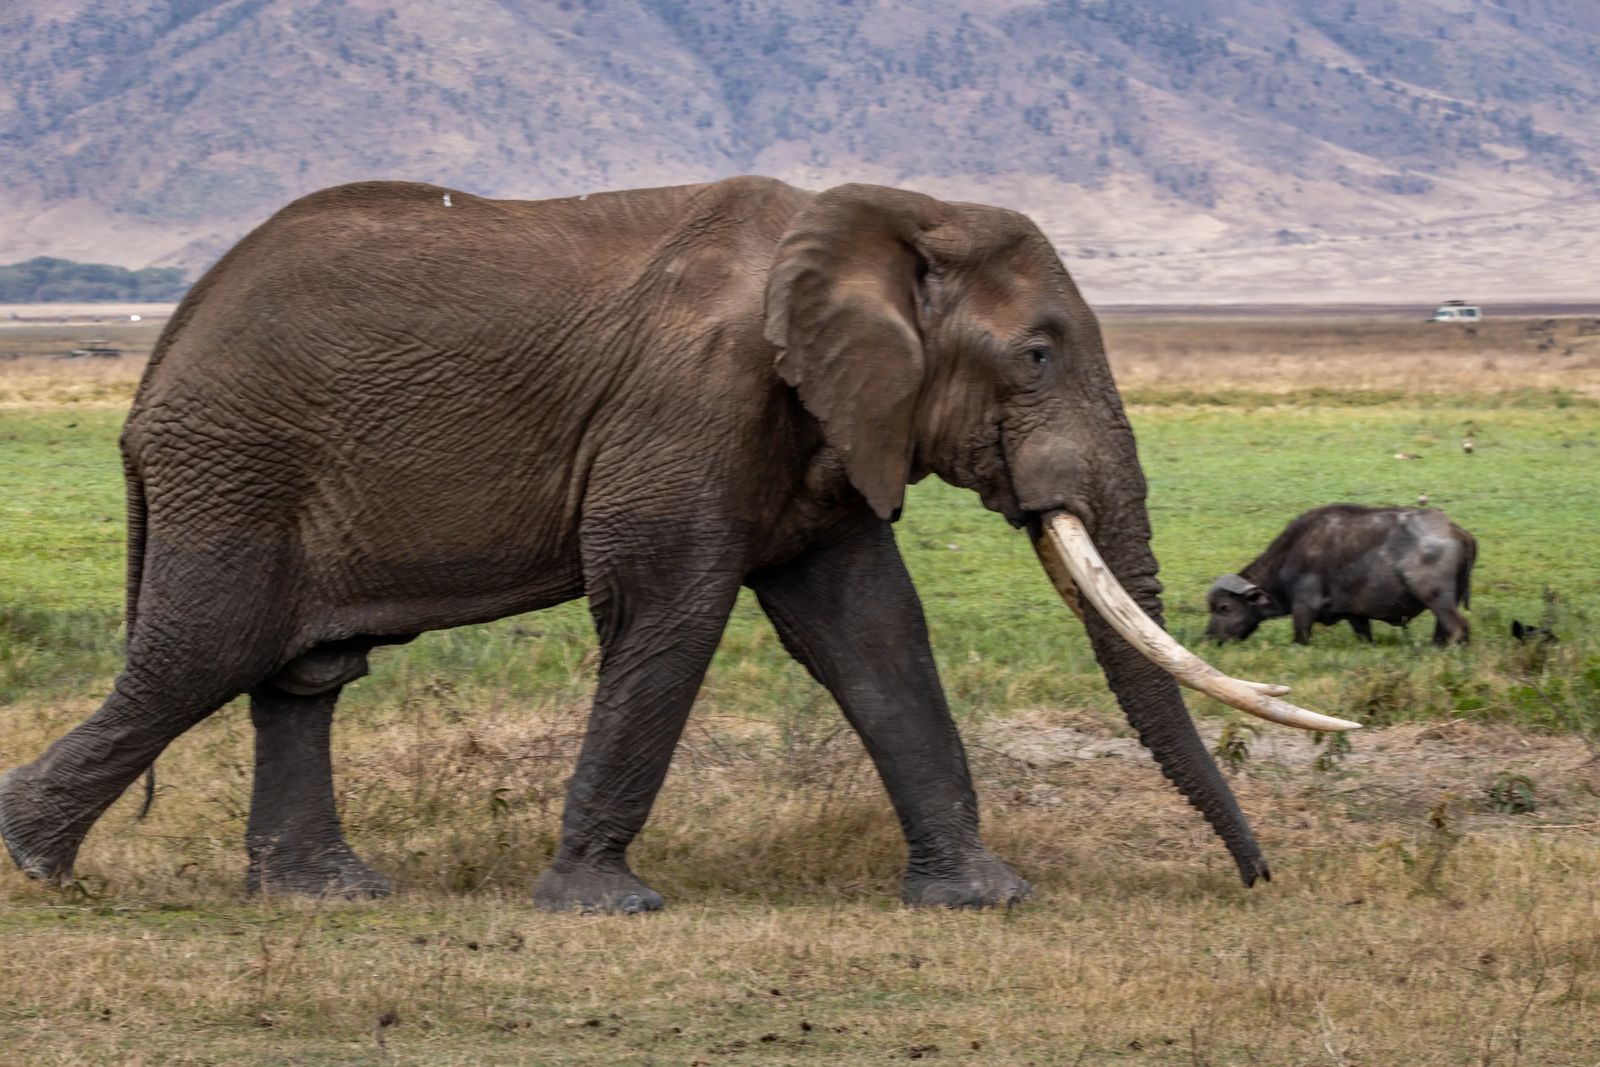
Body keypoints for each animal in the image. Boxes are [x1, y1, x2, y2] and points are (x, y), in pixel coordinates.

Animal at [0, 177, 1354, 911]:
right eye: (1035, 354)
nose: (1258, 880)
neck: (883, 215)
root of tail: (155, 368)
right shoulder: (691, 402)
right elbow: (671, 605)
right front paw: (605, 905)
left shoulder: (817, 422)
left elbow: (869, 628)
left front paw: (984, 896)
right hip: (237, 466)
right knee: (200, 656)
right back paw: (29, 864)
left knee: (299, 673)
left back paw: (324, 893)